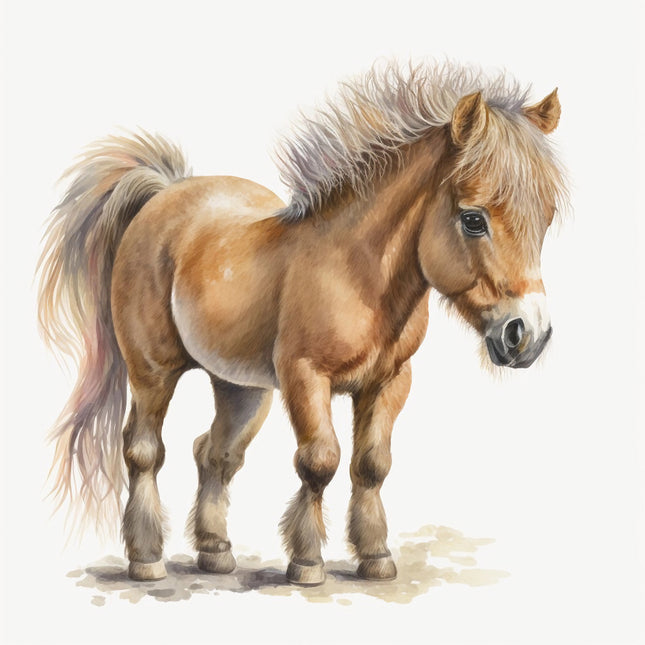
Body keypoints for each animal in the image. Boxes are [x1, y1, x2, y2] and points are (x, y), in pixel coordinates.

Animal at [38, 61, 567, 586]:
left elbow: (371, 466)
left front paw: (375, 557)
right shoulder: (304, 378)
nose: (528, 336)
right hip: (152, 373)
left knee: (215, 452)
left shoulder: (389, 382)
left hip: (241, 388)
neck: (357, 273)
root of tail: (163, 194)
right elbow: (320, 461)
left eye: (546, 219)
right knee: (144, 451)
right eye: (474, 219)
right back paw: (146, 559)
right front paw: (307, 561)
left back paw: (215, 551)